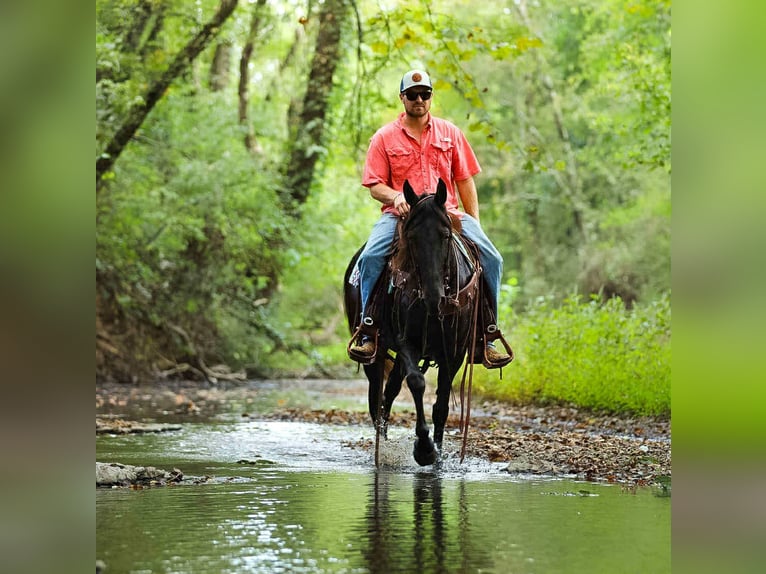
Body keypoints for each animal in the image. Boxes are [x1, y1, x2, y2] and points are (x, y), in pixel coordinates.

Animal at [344, 178, 481, 466]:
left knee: (390, 390)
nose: (433, 297)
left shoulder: (455, 352)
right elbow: (417, 383)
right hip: (375, 353)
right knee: (377, 397)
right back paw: (382, 449)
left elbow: (441, 405)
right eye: (412, 237)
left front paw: (437, 452)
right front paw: (424, 448)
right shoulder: (407, 342)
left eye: (445, 234)